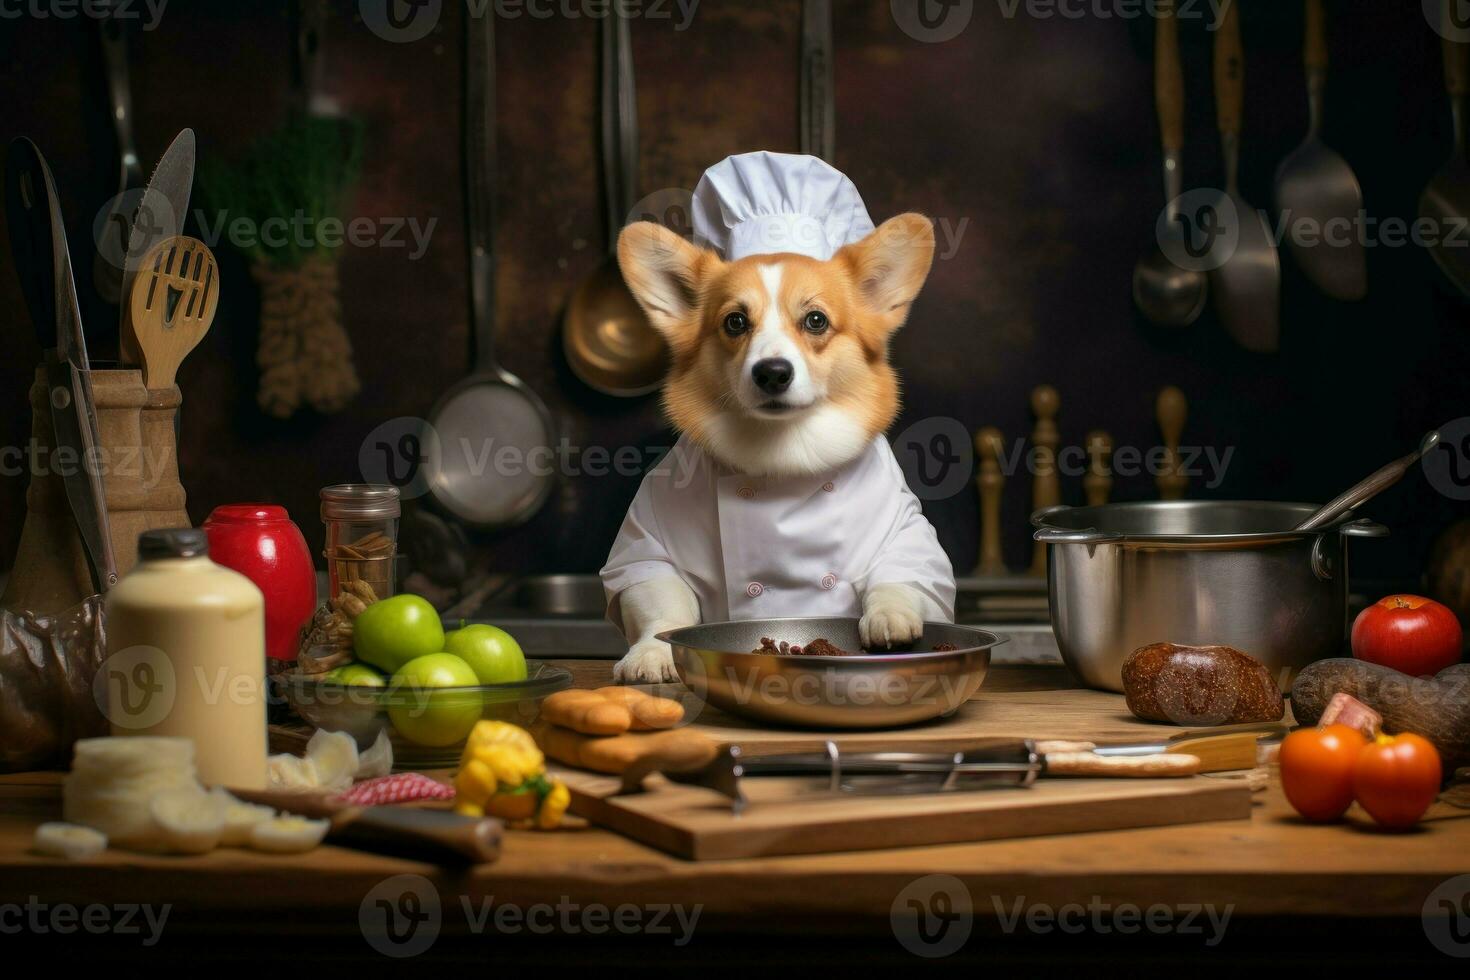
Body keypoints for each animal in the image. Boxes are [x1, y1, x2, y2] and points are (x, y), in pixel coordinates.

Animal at [596, 213, 952, 681]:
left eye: (816, 320)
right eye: (735, 322)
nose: (772, 373)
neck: (784, 461)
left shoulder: (906, 535)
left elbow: (900, 579)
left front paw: (889, 618)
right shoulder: (646, 553)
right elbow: (664, 606)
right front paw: (652, 653)